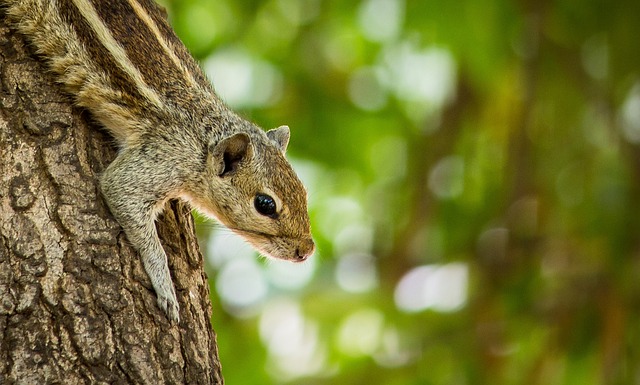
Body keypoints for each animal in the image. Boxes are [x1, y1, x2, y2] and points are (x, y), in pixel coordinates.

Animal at [0, 0, 316, 322]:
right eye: (265, 205)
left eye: (304, 192)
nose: (306, 250)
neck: (203, 138)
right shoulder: (159, 157)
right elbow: (121, 192)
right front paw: (165, 285)